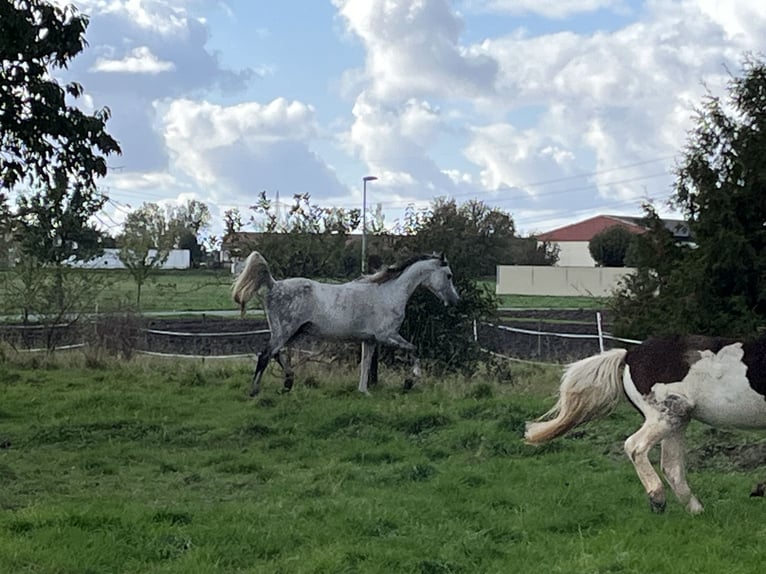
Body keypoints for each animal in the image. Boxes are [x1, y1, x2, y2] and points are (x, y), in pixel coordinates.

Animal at [232, 252, 462, 396]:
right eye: (449, 275)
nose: (455, 300)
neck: (389, 293)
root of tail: (274, 284)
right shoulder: (387, 336)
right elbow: (414, 350)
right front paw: (410, 381)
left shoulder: (370, 341)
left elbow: (366, 365)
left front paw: (364, 391)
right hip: (285, 331)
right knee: (265, 355)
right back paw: (255, 390)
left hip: (291, 332)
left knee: (275, 353)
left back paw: (288, 382)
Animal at [524, 336, 766, 516]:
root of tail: (630, 353)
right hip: (664, 418)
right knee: (635, 446)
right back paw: (658, 498)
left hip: (678, 418)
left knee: (671, 467)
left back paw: (695, 509)